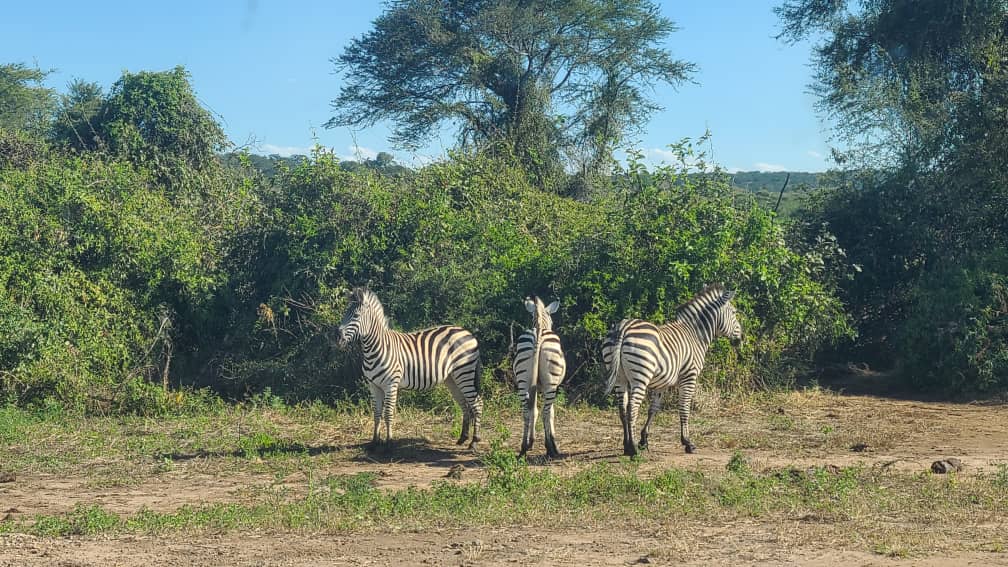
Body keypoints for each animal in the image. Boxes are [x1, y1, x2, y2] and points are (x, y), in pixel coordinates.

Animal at [336, 287, 484, 449]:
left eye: (356, 315)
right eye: (344, 314)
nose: (338, 338)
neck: (375, 348)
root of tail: (468, 333)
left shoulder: (391, 385)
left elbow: (388, 413)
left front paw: (389, 443)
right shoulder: (374, 386)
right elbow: (376, 413)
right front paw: (375, 442)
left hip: (465, 373)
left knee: (477, 404)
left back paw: (474, 442)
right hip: (452, 378)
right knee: (464, 404)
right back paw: (463, 438)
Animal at [512, 296, 567, 459]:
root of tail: (538, 335)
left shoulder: (534, 385)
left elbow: (533, 411)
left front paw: (531, 442)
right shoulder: (552, 386)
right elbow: (551, 413)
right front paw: (552, 443)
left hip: (523, 381)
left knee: (525, 411)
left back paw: (523, 448)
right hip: (551, 383)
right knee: (546, 412)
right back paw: (550, 449)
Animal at [602, 284, 742, 457]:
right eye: (734, 313)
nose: (741, 338)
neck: (695, 335)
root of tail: (623, 326)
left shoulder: (661, 383)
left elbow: (653, 410)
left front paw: (644, 440)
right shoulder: (689, 377)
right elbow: (684, 409)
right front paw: (687, 442)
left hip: (619, 378)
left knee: (622, 409)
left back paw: (627, 446)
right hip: (641, 377)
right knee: (632, 409)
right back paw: (633, 450)